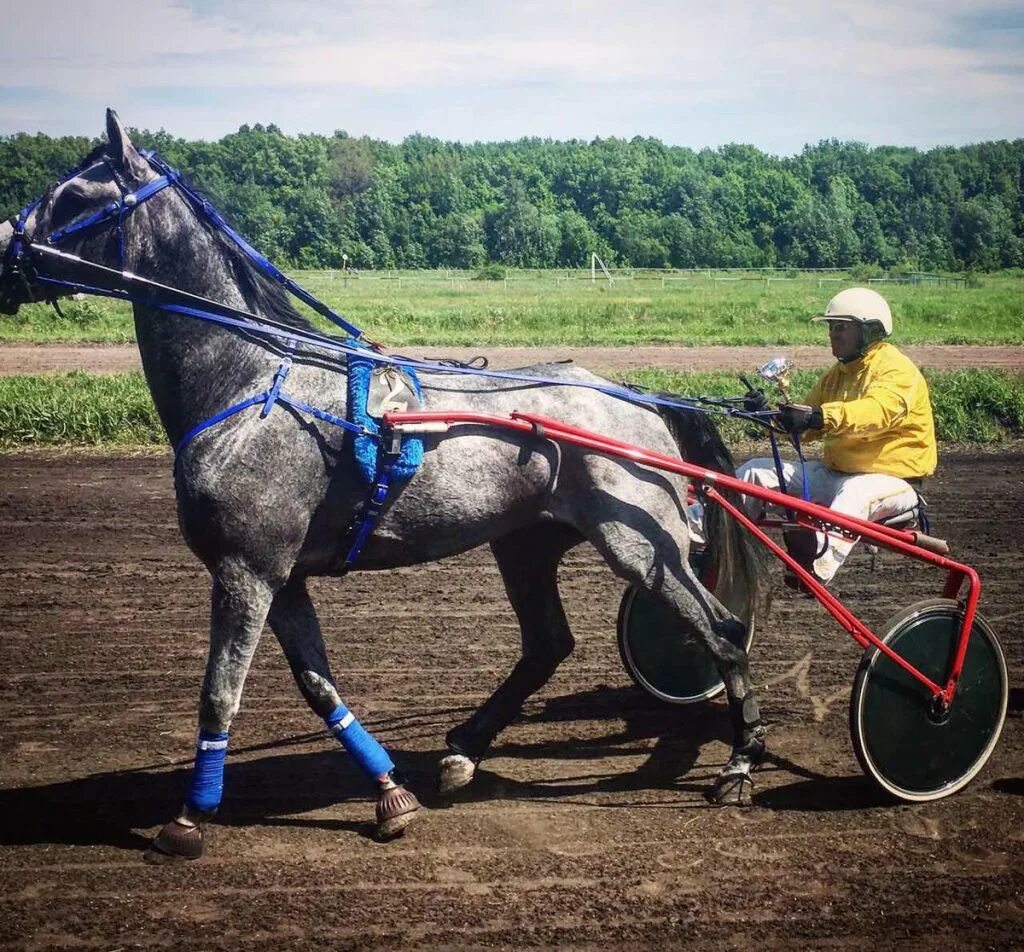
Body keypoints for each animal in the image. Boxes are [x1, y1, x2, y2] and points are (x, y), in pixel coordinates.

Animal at [0, 113, 770, 859]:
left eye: (74, 193)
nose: (5, 247)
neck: (251, 382)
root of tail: (638, 396)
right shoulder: (283, 576)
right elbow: (317, 685)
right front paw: (389, 793)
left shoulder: (245, 569)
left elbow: (219, 693)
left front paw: (189, 818)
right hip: (526, 543)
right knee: (548, 644)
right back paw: (462, 752)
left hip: (641, 546)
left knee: (723, 630)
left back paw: (739, 762)